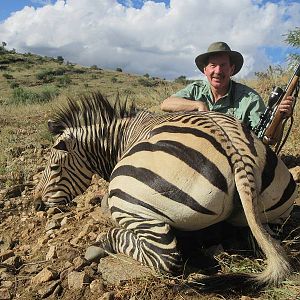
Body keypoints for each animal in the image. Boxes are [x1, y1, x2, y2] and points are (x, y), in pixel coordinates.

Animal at [34, 92, 296, 292]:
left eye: (54, 167)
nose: (37, 205)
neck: (123, 136)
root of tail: (237, 151)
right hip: (274, 210)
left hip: (129, 200)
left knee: (164, 257)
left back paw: (104, 240)